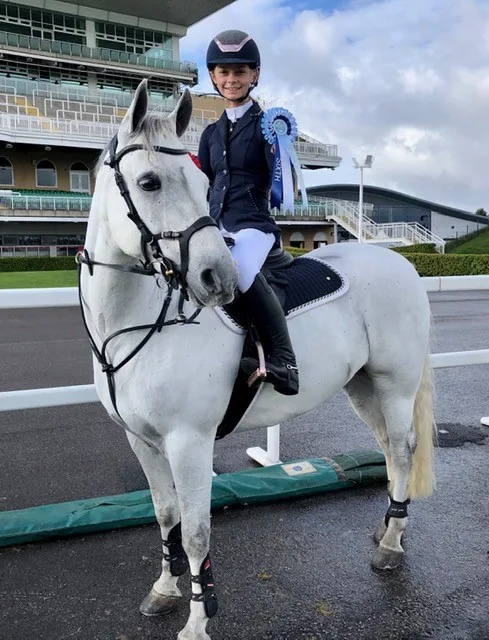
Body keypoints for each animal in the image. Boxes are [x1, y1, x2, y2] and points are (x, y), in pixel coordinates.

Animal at [79, 81, 434, 640]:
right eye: (149, 182)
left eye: (203, 186)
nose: (217, 278)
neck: (137, 322)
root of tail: (399, 260)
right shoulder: (142, 440)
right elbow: (165, 514)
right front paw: (164, 590)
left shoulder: (189, 442)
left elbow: (196, 533)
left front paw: (197, 621)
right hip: (363, 387)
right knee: (386, 448)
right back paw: (386, 528)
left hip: (395, 385)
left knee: (401, 451)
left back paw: (392, 546)